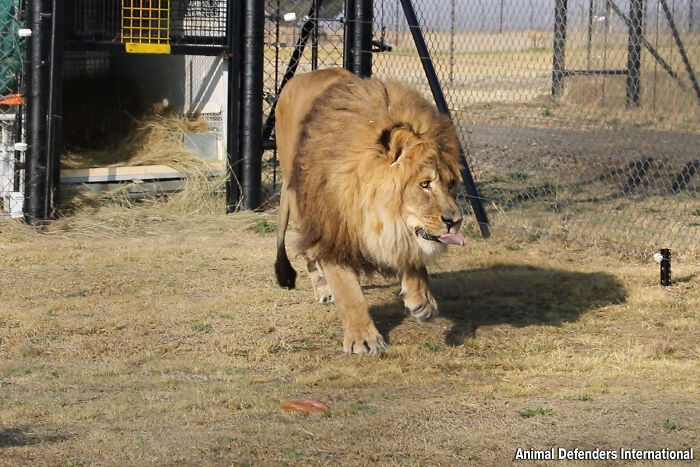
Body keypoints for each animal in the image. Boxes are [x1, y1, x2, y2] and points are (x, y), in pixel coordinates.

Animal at [274, 67, 466, 355]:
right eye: (425, 184)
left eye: (451, 184)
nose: (455, 221)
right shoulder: (332, 227)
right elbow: (349, 291)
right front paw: (363, 338)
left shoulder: (398, 230)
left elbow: (410, 251)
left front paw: (421, 300)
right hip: (299, 198)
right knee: (309, 254)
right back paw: (322, 288)